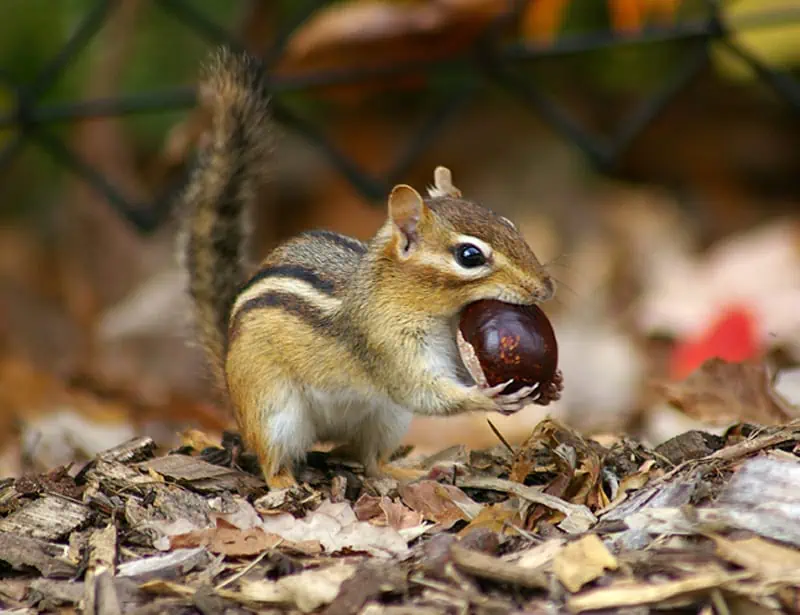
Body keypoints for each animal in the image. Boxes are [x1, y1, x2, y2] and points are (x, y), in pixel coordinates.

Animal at [179, 49, 556, 489]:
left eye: (508, 224)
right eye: (470, 256)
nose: (545, 288)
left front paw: (552, 385)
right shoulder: (386, 345)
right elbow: (424, 392)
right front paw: (486, 396)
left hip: (385, 418)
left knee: (372, 461)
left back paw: (414, 470)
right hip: (272, 412)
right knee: (271, 461)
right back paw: (286, 486)